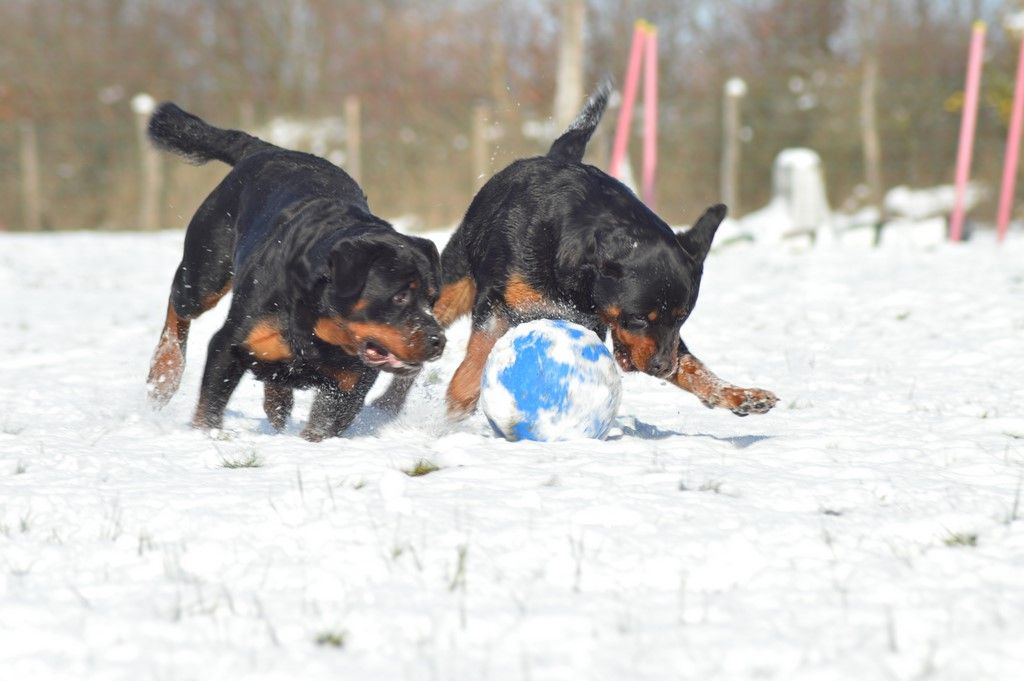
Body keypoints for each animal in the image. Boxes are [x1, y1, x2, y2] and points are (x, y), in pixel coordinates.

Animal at [145, 103, 444, 438]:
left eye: (432, 299)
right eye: (400, 296)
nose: (438, 340)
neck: (321, 322)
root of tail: (266, 149)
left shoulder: (352, 382)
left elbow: (324, 424)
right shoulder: (229, 344)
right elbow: (210, 405)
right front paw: (204, 434)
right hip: (205, 270)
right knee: (180, 303)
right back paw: (164, 371)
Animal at [378, 80, 774, 419]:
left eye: (682, 318)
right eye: (638, 318)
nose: (663, 367)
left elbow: (691, 364)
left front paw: (739, 395)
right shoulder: (496, 302)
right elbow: (478, 353)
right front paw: (459, 403)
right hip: (454, 282)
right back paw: (388, 406)